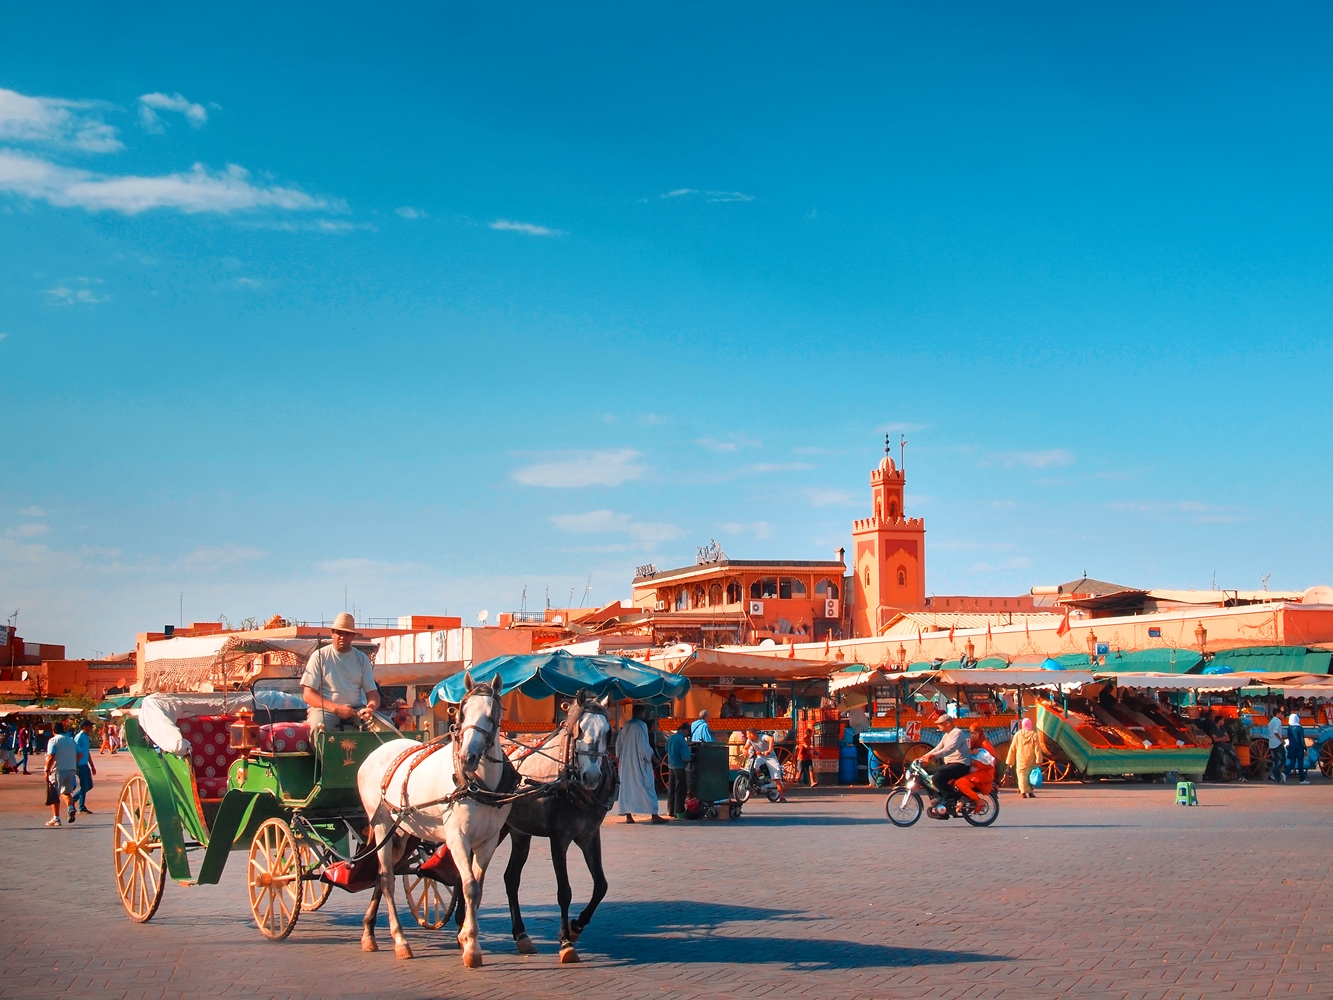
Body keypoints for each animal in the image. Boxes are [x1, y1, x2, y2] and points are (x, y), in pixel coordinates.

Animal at [354, 677, 509, 965]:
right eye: (461, 712)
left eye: (491, 715)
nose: (467, 758)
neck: (475, 784)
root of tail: (377, 751)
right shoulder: (458, 838)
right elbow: (469, 886)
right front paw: (472, 948)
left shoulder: (488, 841)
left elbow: (478, 888)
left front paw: (466, 937)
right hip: (381, 826)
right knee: (386, 878)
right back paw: (400, 940)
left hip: (402, 832)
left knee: (382, 875)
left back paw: (369, 931)